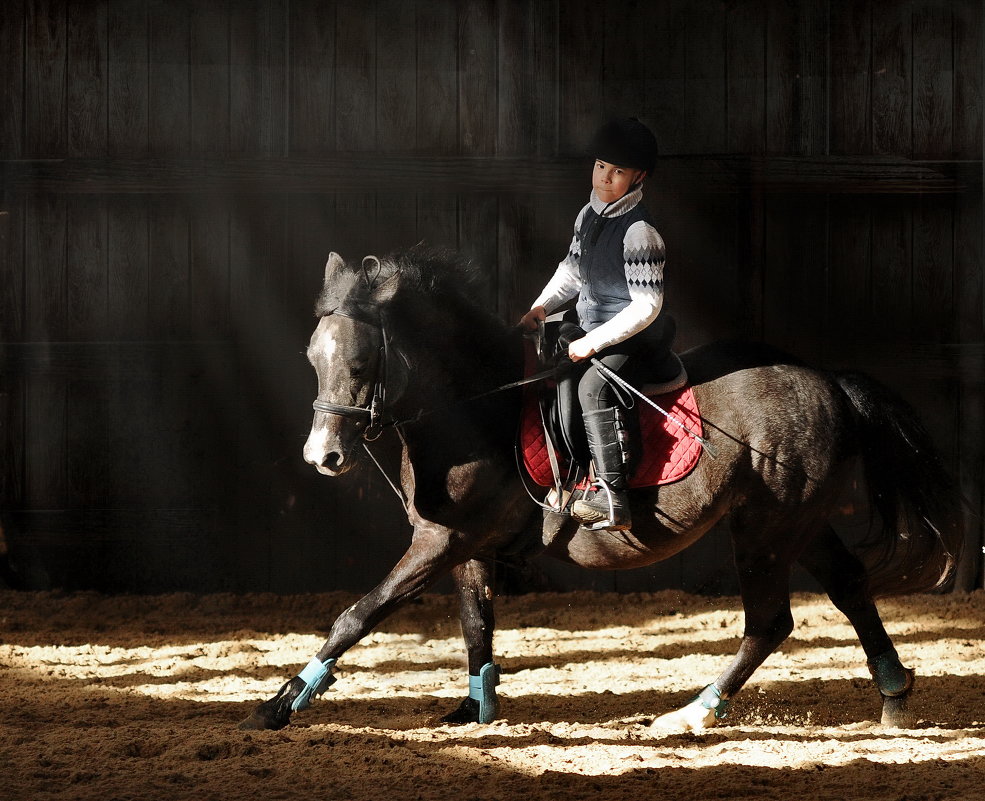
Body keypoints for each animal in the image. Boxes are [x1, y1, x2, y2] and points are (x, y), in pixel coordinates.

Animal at [240, 247, 960, 736]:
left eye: (362, 362)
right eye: (313, 358)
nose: (322, 456)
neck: (474, 410)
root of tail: (828, 380)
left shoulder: (444, 538)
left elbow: (357, 615)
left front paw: (280, 703)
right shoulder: (467, 546)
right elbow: (476, 626)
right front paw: (476, 707)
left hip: (764, 526)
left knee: (770, 621)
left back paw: (693, 713)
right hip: (799, 520)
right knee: (849, 590)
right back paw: (894, 695)